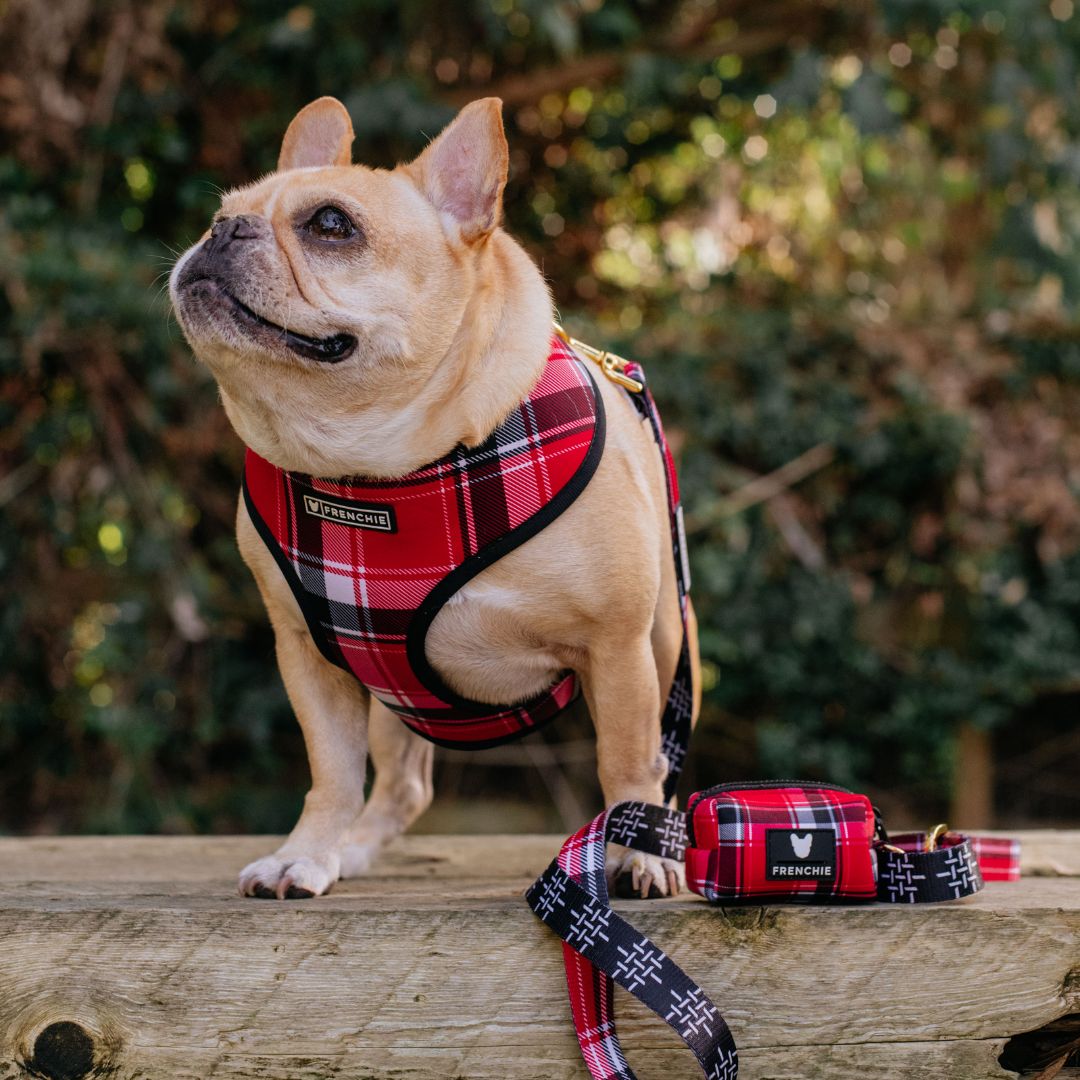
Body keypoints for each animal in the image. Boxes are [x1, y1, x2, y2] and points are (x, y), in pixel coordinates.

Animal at [164, 97, 695, 898]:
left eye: (331, 225)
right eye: (219, 213)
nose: (223, 232)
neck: (377, 464)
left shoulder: (617, 646)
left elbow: (628, 760)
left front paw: (639, 853)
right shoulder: (311, 657)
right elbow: (332, 772)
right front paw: (306, 852)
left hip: (664, 637)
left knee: (654, 754)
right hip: (393, 694)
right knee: (402, 783)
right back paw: (351, 848)